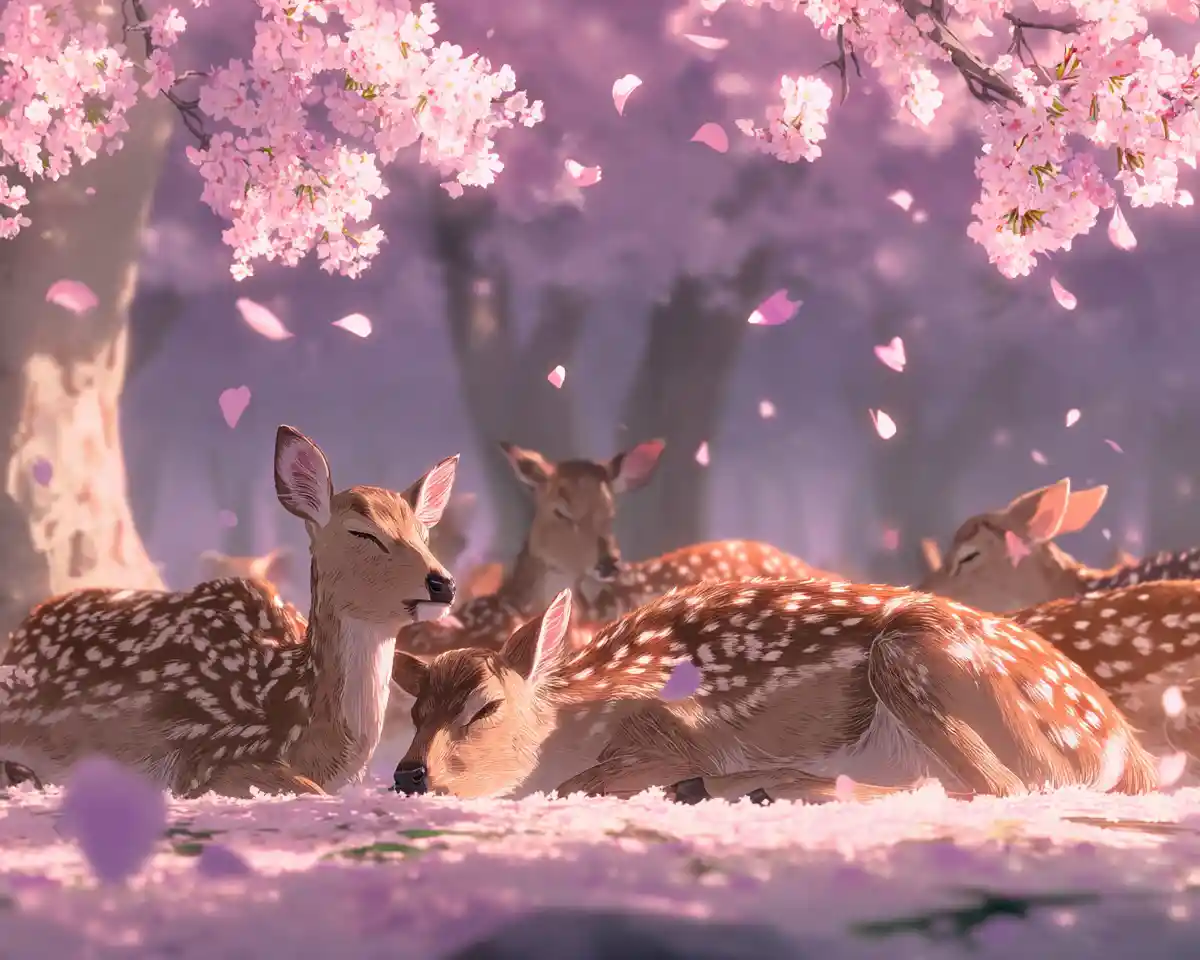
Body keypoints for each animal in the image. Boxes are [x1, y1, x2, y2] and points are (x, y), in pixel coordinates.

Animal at [390, 579, 1157, 804]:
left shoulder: (679, 731)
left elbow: (589, 779)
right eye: (415, 709)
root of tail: (1130, 753)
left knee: (998, 787)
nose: (407, 774)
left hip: (912, 658)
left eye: (486, 707)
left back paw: (768, 785)